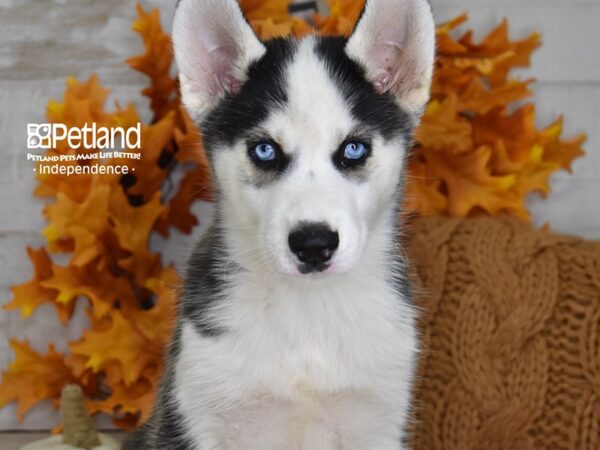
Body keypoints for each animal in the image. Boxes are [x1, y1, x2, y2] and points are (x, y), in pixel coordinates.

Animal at [124, 0, 434, 448]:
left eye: (354, 149)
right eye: (265, 150)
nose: (313, 244)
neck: (308, 312)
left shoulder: (376, 420)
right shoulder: (194, 416)